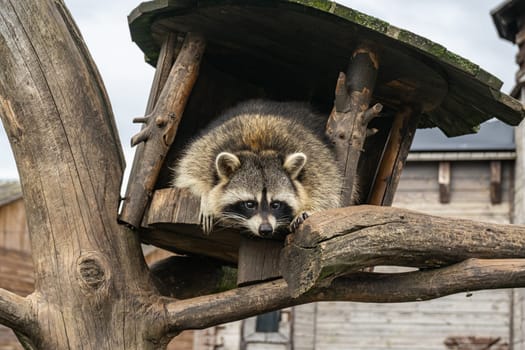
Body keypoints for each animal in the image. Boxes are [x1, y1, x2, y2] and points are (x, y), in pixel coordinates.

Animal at [174, 100, 342, 239]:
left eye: (276, 204)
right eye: (250, 204)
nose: (265, 229)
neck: (258, 150)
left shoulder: (316, 161)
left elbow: (328, 187)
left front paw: (308, 209)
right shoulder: (208, 149)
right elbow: (188, 172)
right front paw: (206, 197)